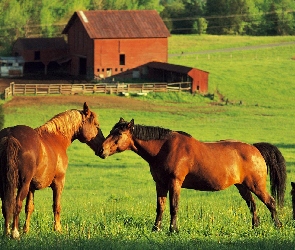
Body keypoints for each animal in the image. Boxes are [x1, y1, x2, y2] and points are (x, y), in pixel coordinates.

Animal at [0, 102, 100, 238]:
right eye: (96, 124)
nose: (101, 148)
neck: (56, 138)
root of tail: (10, 136)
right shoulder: (58, 182)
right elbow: (56, 206)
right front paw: (57, 229)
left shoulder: (31, 187)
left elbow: (29, 207)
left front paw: (26, 230)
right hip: (22, 185)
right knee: (16, 204)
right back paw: (15, 233)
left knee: (6, 205)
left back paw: (6, 232)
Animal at [99, 118, 286, 231]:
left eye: (119, 133)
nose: (101, 150)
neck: (164, 148)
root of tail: (255, 148)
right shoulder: (160, 184)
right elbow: (160, 207)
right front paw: (156, 228)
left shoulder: (175, 183)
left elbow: (174, 207)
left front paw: (173, 229)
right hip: (243, 187)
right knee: (253, 205)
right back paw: (255, 227)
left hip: (256, 185)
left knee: (271, 202)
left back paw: (278, 225)